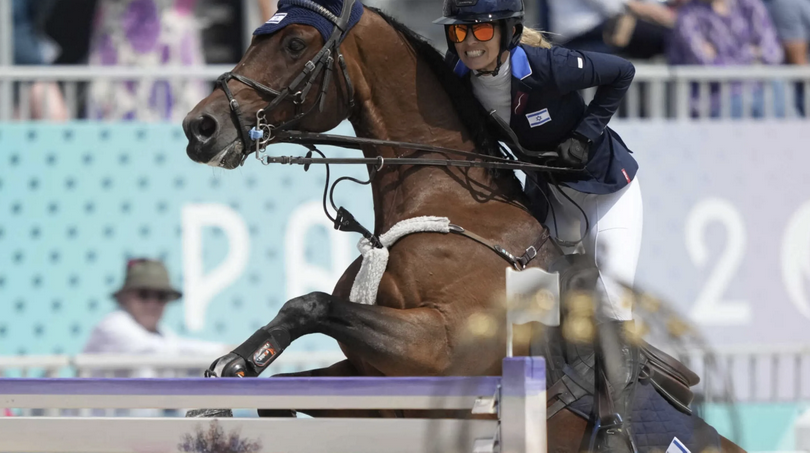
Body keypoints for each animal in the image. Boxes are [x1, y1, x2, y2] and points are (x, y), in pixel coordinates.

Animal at [180, 1, 740, 450]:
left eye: (295, 44)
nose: (199, 127)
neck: (445, 201)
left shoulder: (439, 347)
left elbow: (311, 304)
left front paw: (237, 363)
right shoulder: (372, 380)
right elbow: (284, 394)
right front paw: (236, 375)